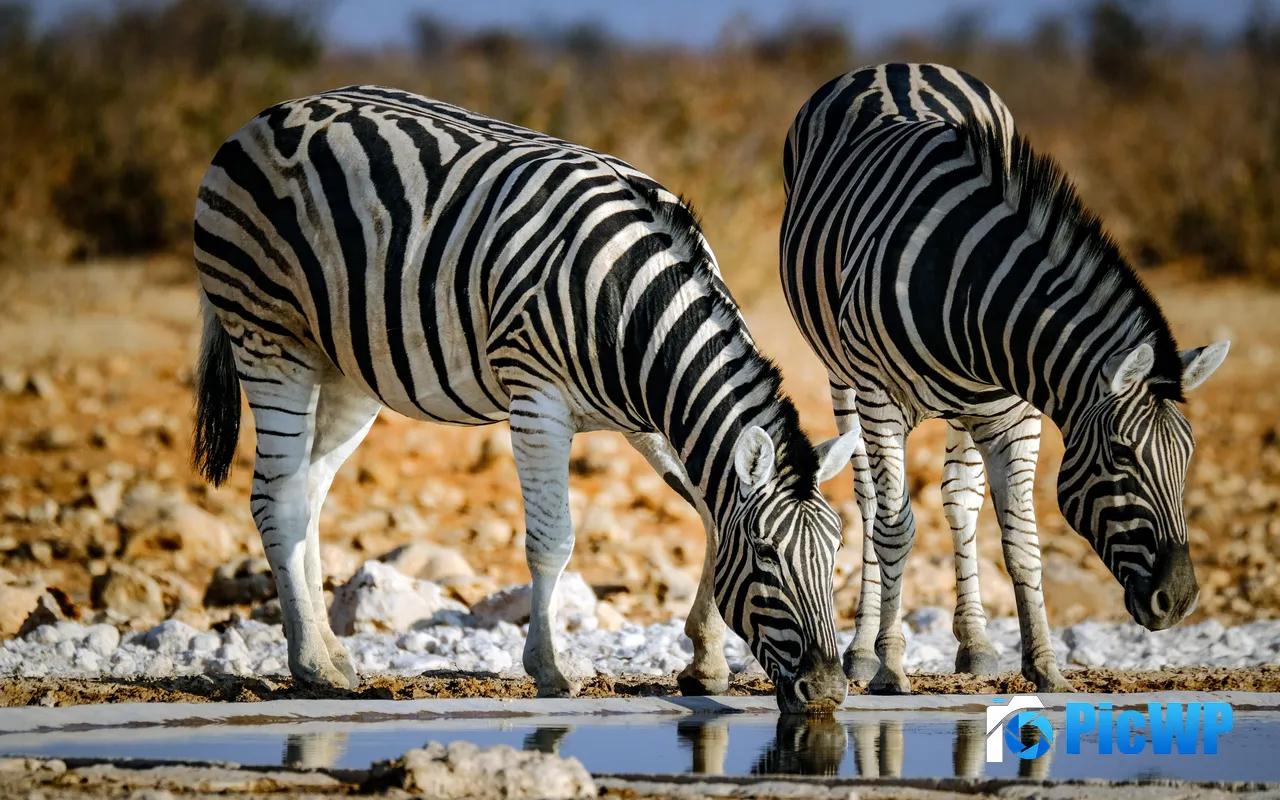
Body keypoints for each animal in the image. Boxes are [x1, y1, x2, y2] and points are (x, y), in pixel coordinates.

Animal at [191, 85, 859, 712]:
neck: (632, 308)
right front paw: (550, 669)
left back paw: (331, 654)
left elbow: (710, 513)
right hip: (268, 335)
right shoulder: (538, 401)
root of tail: (263, 117)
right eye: (767, 557)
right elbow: (552, 541)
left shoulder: (649, 419)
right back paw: (311, 666)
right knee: (276, 498)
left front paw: (706, 661)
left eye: (835, 554)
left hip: (345, 366)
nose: (828, 691)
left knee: (309, 493)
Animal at [780, 63, 1229, 694]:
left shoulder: (1017, 413)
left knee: (959, 501)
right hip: (841, 375)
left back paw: (976, 644)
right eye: (1120, 455)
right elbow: (894, 527)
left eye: (1187, 456)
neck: (968, 287)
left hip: (969, 410)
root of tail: (900, 64)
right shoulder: (879, 397)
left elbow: (1020, 540)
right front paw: (890, 666)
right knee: (870, 504)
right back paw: (864, 651)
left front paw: (1045, 666)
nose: (1181, 600)